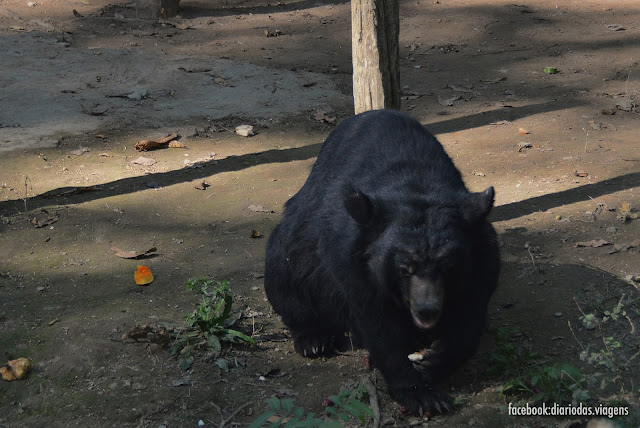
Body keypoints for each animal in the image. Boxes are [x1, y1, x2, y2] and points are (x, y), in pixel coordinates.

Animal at [264, 109, 500, 414]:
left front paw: (432, 363)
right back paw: (313, 340)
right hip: (296, 239)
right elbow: (378, 323)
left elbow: (470, 313)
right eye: (404, 269)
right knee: (284, 273)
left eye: (448, 268)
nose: (427, 311)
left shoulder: (481, 258)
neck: (417, 185)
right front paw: (421, 393)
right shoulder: (352, 260)